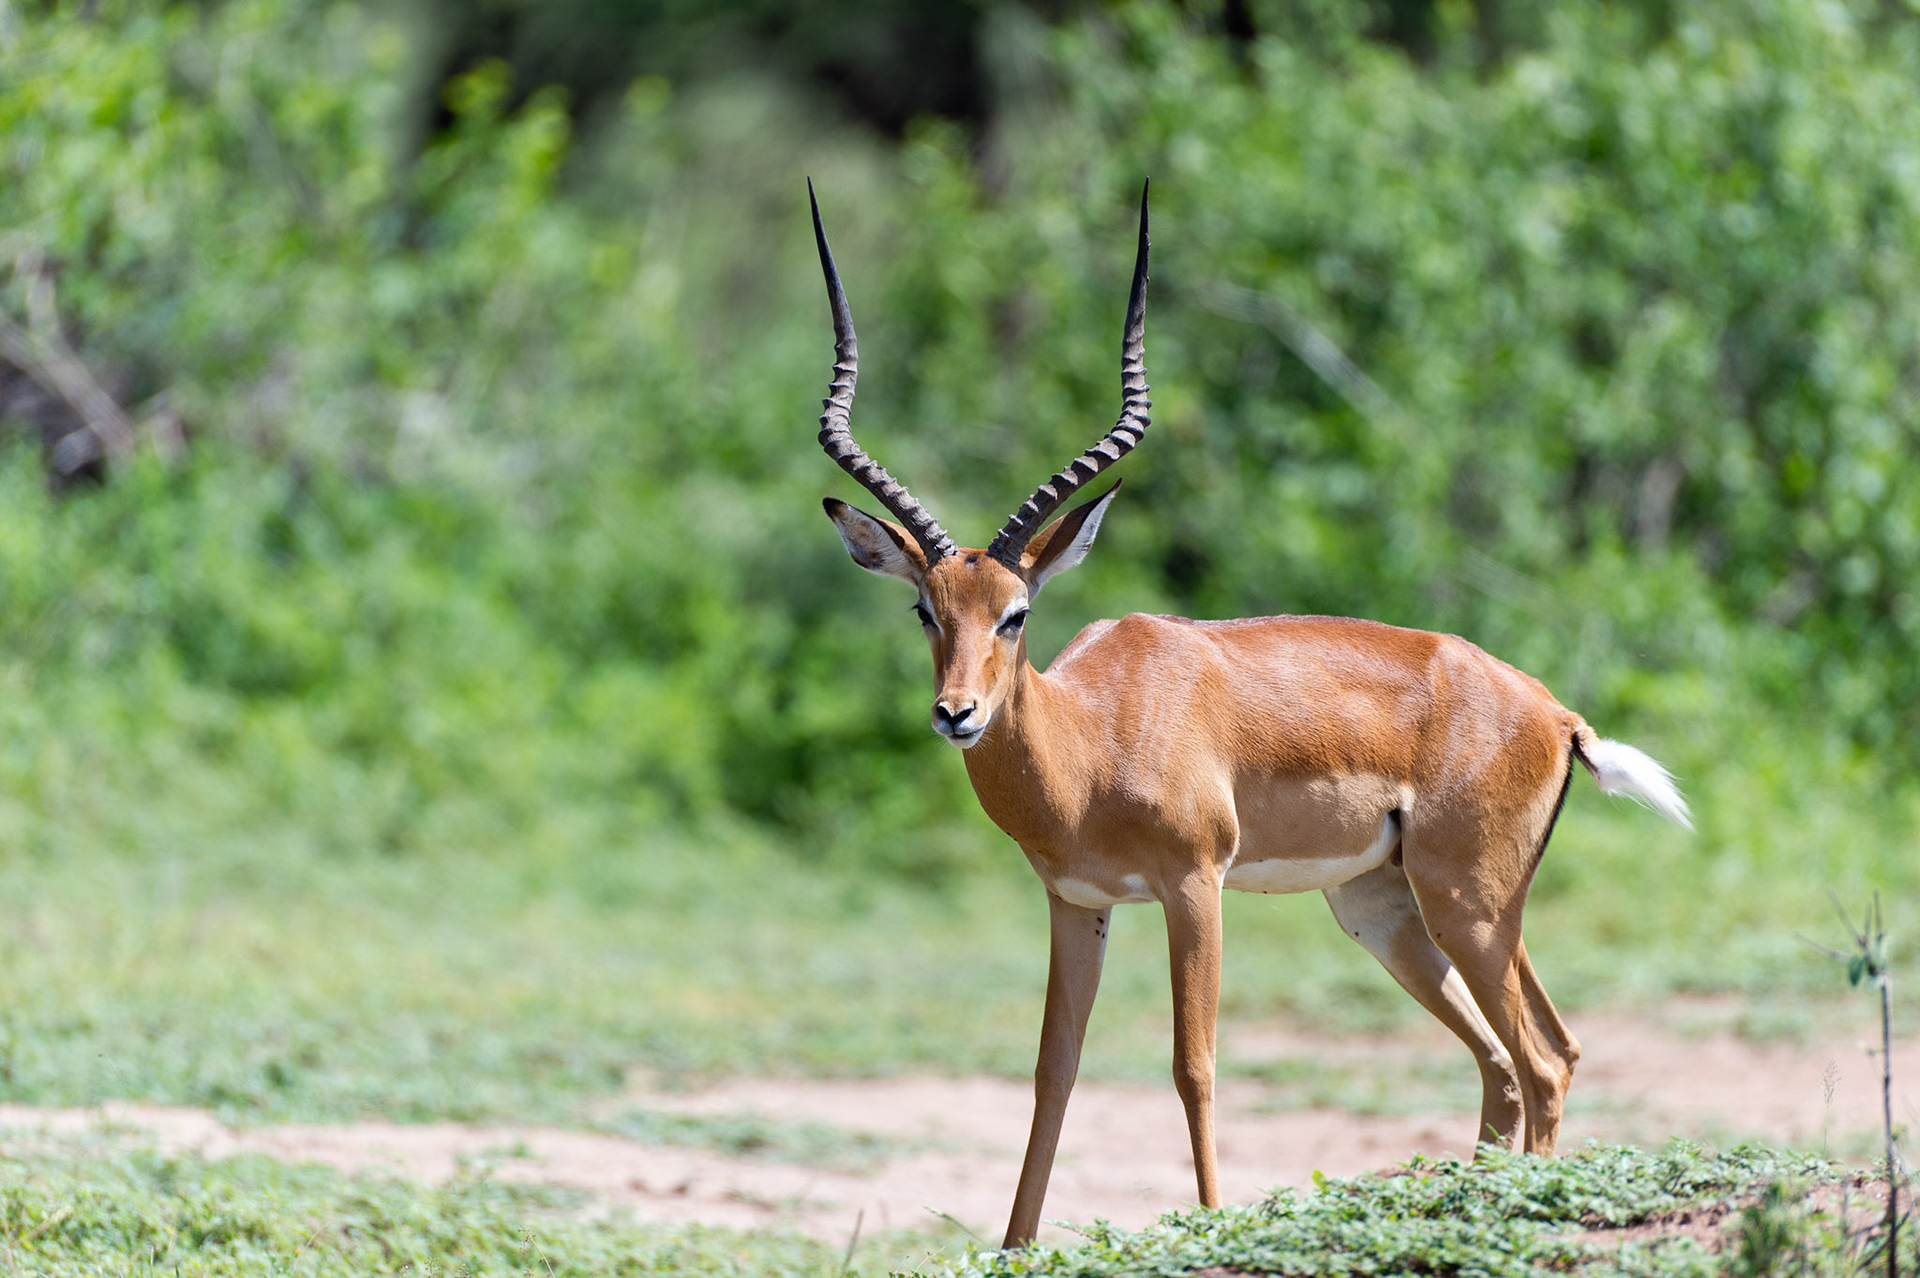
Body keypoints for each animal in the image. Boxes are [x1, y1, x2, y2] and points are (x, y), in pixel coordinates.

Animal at [807, 180, 1692, 1248]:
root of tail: (1555, 713)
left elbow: (1193, 1063)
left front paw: (1213, 1221)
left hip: (1469, 904)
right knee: (1504, 1062)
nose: (956, 715)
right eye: (925, 610)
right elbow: (1053, 1073)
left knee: (1545, 1059)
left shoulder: (1196, 887)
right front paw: (1013, 1246)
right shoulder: (1077, 902)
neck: (1093, 736)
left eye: (1016, 613)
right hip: (1385, 908)